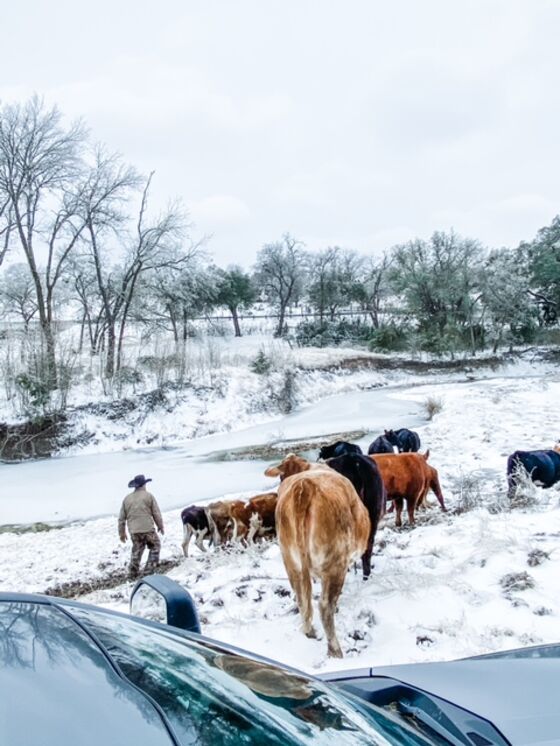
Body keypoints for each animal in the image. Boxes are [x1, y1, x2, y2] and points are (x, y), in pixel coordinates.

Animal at [264, 450, 370, 652]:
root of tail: (304, 486)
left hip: (291, 562)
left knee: (301, 598)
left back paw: (309, 631)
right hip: (335, 564)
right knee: (324, 606)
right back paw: (335, 650)